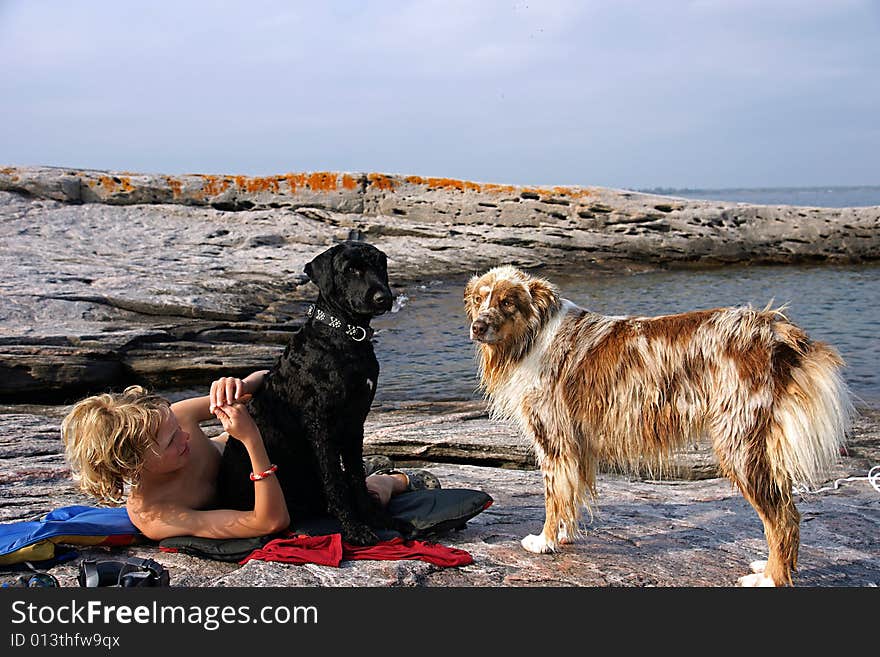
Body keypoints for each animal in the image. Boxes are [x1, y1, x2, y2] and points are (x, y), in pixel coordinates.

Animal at [218, 240, 398, 544]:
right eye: (351, 269)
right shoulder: (319, 425)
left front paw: (373, 517)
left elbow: (355, 476)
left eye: (379, 265)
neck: (345, 337)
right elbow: (335, 481)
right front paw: (354, 529)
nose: (383, 298)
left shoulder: (355, 423)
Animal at [464, 264, 856, 588]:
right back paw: (772, 567)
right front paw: (562, 536)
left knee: (782, 518)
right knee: (786, 512)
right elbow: (569, 498)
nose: (477, 326)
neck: (532, 336)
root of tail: (773, 328)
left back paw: (771, 578)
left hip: (738, 444)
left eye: (507, 302)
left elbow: (552, 499)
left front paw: (544, 541)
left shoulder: (553, 439)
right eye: (480, 299)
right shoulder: (575, 445)